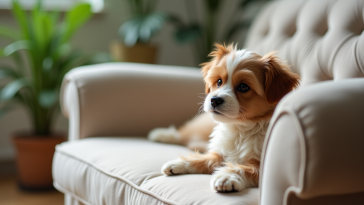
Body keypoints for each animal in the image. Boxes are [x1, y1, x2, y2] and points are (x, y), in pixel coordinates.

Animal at [147, 43, 298, 192]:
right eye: (219, 82)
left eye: (243, 87)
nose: (214, 100)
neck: (241, 128)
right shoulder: (221, 153)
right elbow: (205, 159)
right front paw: (178, 163)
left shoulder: (265, 169)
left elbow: (245, 169)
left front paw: (226, 177)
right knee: (186, 133)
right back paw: (161, 135)